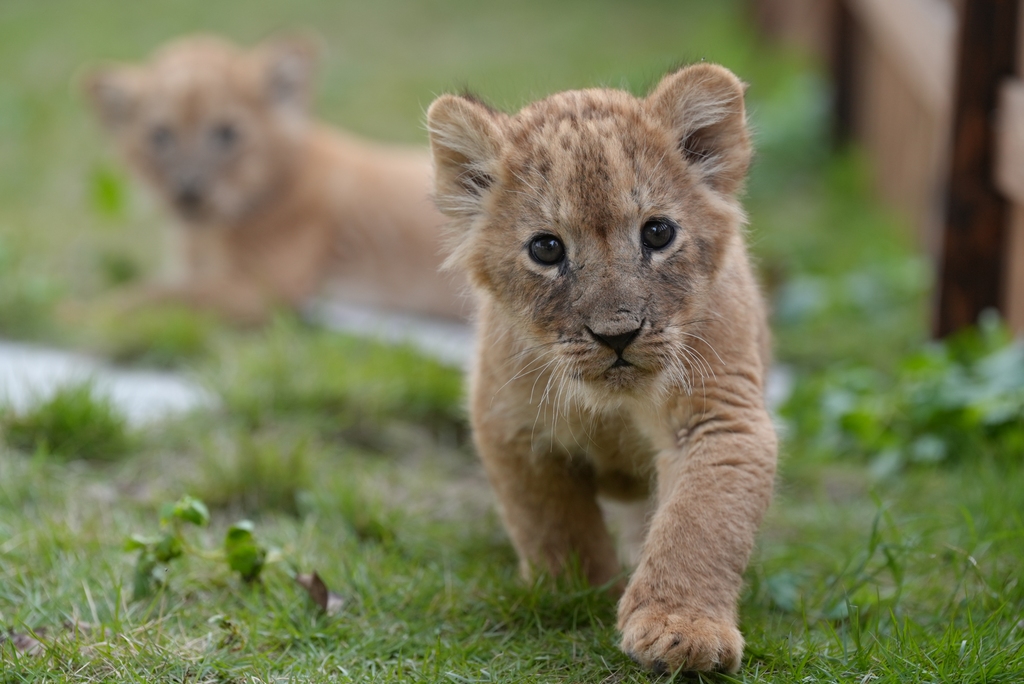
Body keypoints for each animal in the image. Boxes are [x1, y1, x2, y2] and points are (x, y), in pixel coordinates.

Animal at [84, 35, 467, 323]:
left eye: (227, 133)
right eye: (159, 136)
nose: (188, 191)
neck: (204, 234)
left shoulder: (268, 286)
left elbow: (160, 294)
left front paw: (83, 314)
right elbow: (161, 286)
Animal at [426, 64, 777, 673]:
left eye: (657, 233)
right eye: (546, 248)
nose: (617, 335)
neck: (613, 405)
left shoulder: (720, 417)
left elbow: (699, 522)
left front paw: (681, 628)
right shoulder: (510, 426)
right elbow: (552, 523)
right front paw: (576, 592)